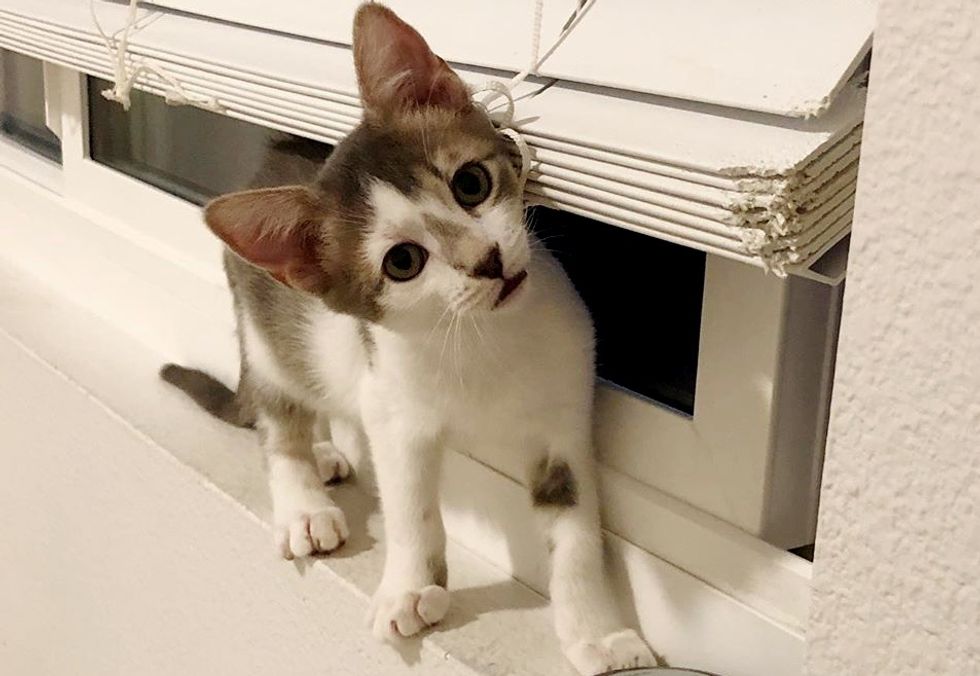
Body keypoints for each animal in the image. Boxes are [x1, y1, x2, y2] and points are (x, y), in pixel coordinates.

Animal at [161, 3, 656, 672]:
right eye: (402, 262)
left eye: (471, 183)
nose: (487, 262)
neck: (483, 341)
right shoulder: (394, 408)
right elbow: (408, 505)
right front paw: (410, 588)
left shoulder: (563, 418)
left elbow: (575, 534)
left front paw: (598, 635)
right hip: (264, 339)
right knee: (278, 418)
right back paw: (303, 499)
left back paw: (325, 451)